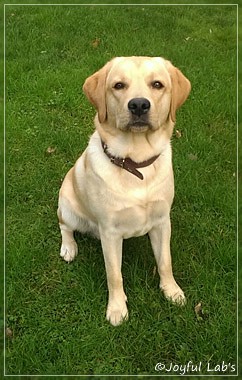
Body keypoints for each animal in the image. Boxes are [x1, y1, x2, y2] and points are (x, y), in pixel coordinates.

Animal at [57, 56, 191, 326]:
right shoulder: (110, 232)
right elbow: (114, 275)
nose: (139, 105)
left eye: (157, 84)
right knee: (64, 226)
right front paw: (117, 309)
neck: (136, 165)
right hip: (67, 206)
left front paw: (172, 291)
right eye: (118, 85)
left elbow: (165, 262)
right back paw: (69, 248)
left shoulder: (162, 221)